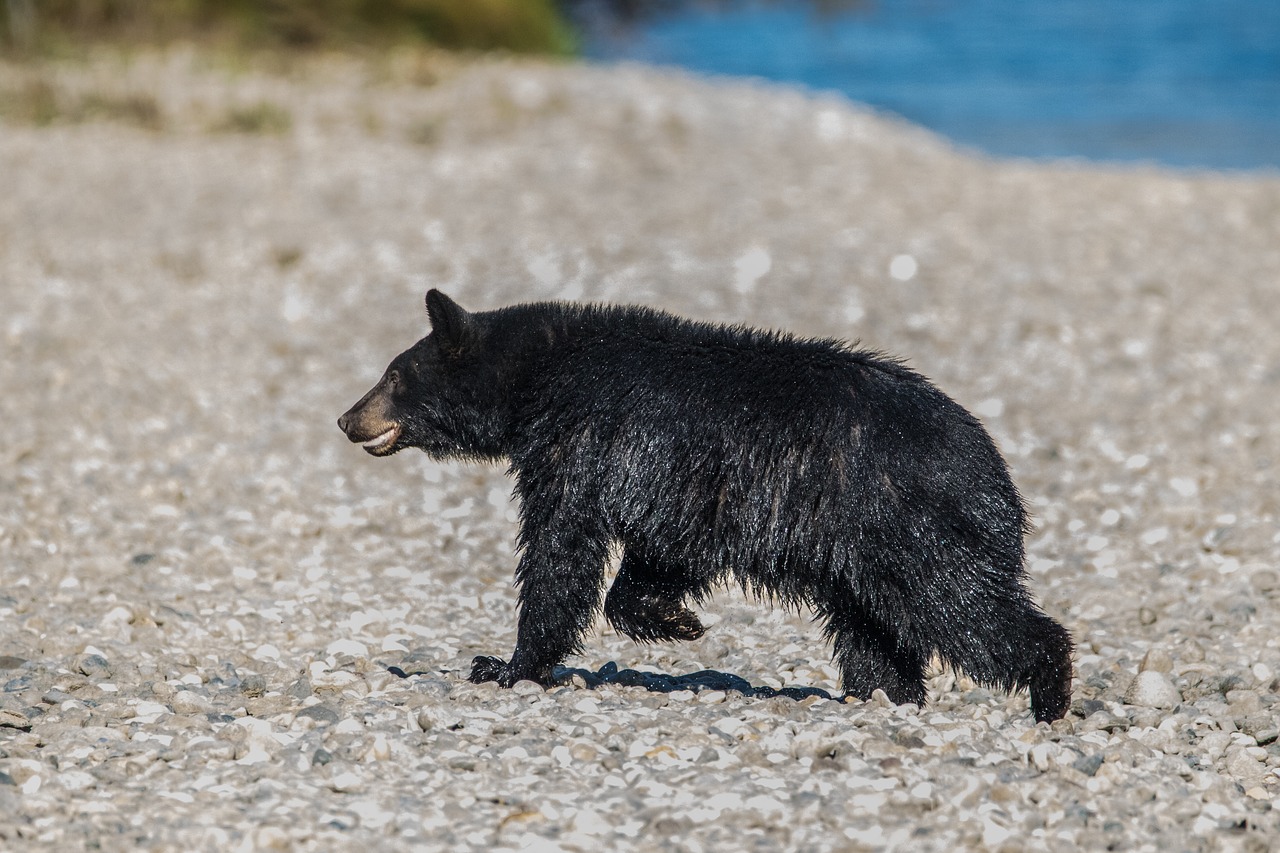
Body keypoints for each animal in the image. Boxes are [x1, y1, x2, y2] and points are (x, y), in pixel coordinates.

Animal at [337, 290, 1070, 717]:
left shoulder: (587, 442)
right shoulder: (670, 480)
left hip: (909, 524)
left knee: (961, 606)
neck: (541, 376)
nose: (347, 417)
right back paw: (881, 692)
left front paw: (506, 664)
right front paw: (676, 618)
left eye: (394, 373)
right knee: (872, 627)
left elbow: (561, 551)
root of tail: (995, 472)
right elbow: (662, 552)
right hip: (858, 556)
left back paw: (1050, 689)